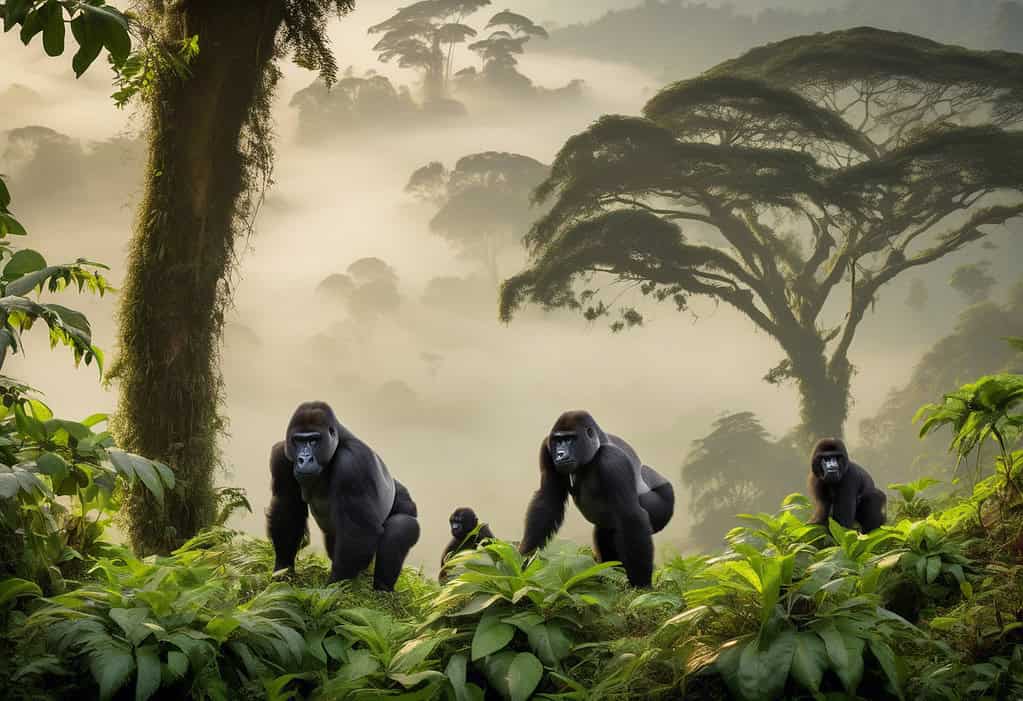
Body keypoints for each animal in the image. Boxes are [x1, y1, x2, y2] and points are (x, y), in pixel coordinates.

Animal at [268, 399, 423, 589]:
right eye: (298, 440)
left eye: (314, 440)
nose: (304, 459)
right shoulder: (282, 456)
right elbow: (287, 509)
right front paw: (283, 568)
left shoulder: (353, 463)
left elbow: (360, 532)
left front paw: (335, 585)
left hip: (406, 504)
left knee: (399, 526)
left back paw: (381, 590)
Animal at [515, 409, 675, 585]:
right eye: (558, 440)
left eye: (570, 439)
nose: (560, 454)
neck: (596, 446)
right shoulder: (546, 447)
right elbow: (548, 500)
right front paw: (525, 555)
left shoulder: (612, 460)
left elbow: (630, 515)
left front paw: (642, 585)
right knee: (606, 532)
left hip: (664, 499)